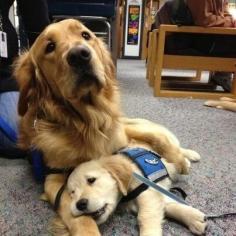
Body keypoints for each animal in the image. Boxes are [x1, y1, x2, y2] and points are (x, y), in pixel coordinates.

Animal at [67, 143, 206, 235]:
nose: (80, 204)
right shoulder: (152, 196)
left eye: (91, 180)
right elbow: (169, 206)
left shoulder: (147, 191)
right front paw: (195, 218)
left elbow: (145, 216)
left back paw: (190, 157)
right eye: (72, 192)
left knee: (176, 151)